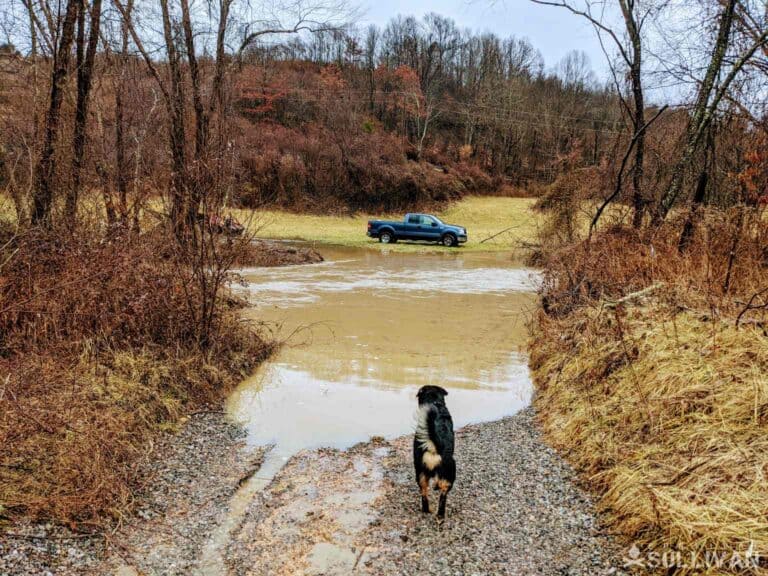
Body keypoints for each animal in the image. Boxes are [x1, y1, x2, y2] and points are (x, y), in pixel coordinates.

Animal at [414, 384, 456, 520]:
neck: (434, 402)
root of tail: (433, 447)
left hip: (420, 472)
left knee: (424, 493)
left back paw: (427, 510)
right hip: (451, 471)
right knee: (443, 495)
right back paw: (440, 515)